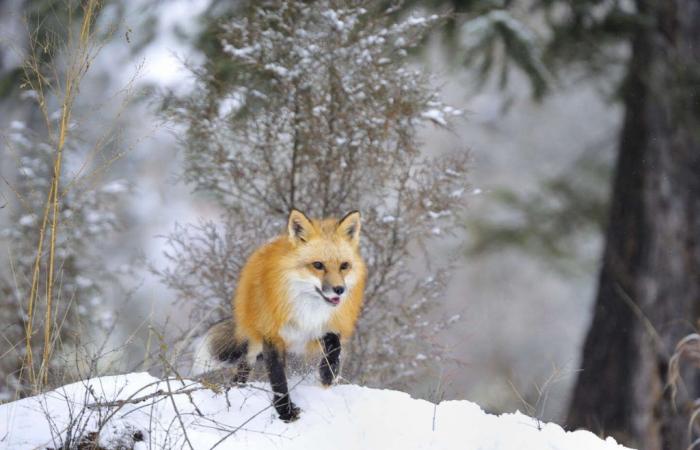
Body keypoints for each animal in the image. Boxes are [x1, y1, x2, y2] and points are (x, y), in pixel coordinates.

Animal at [191, 209, 366, 420]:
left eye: (344, 266)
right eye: (318, 265)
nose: (339, 290)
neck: (308, 309)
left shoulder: (324, 327)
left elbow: (334, 346)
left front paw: (328, 373)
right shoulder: (272, 334)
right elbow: (278, 377)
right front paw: (286, 412)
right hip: (255, 343)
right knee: (243, 366)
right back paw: (236, 389)